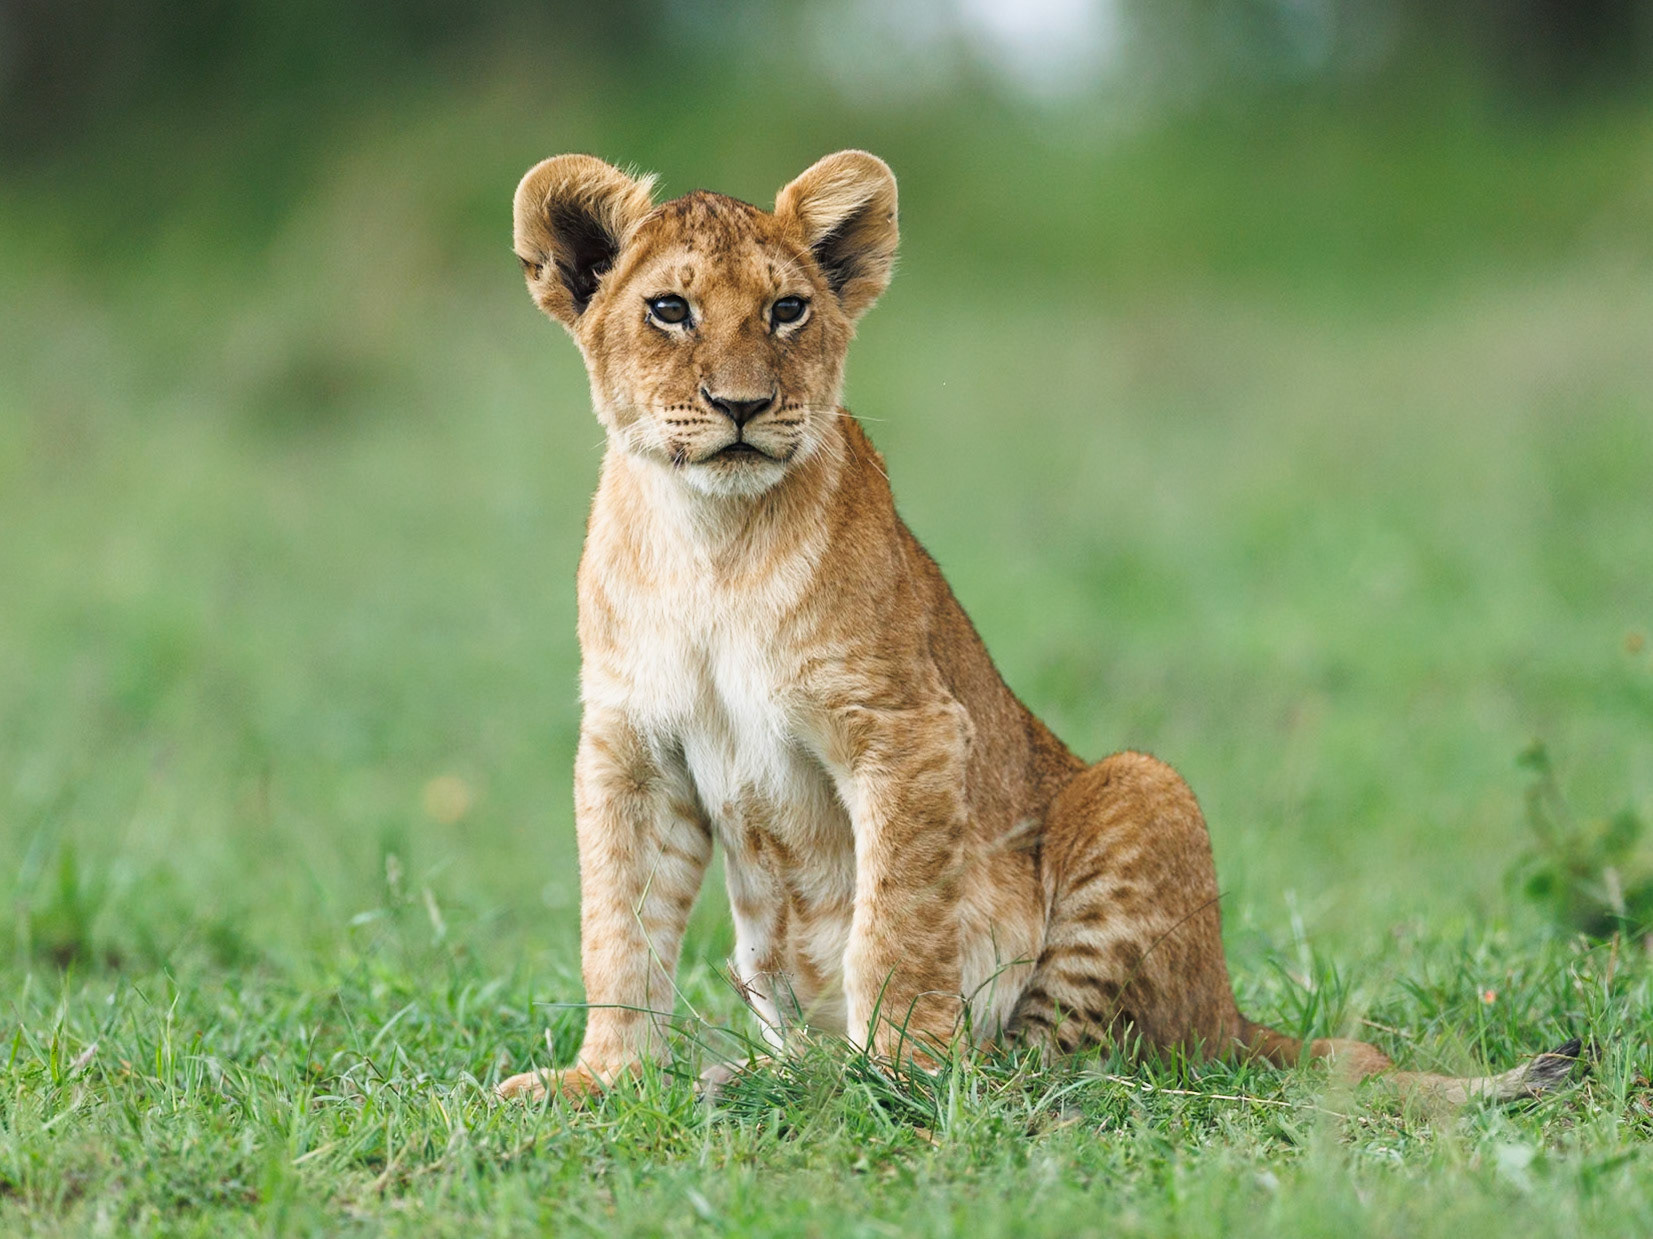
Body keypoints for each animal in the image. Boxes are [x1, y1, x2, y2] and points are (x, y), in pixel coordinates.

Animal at [495, 150, 1580, 1106]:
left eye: (787, 309)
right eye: (668, 310)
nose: (741, 404)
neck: (711, 543)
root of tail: (1230, 1009)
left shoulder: (910, 728)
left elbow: (897, 921)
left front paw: (898, 1075)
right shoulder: (630, 748)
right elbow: (619, 924)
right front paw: (600, 1080)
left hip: (1144, 787)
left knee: (1063, 1070)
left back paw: (822, 1081)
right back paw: (768, 1074)